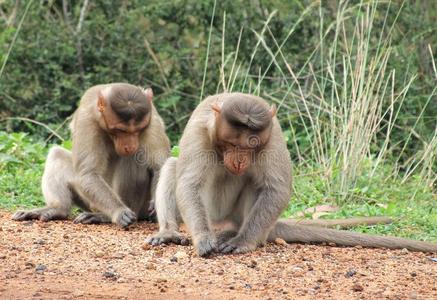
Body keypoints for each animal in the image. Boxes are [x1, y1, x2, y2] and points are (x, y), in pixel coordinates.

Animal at [12, 82, 169, 227]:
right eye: (121, 130)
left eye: (138, 129)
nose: (130, 146)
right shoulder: (86, 120)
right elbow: (87, 174)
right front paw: (119, 211)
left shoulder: (151, 118)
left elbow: (159, 166)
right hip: (90, 202)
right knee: (57, 155)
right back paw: (58, 209)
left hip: (141, 207)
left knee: (132, 158)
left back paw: (106, 216)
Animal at [146, 92, 436, 254]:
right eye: (232, 144)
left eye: (251, 144)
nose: (239, 161)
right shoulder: (199, 130)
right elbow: (189, 183)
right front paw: (203, 239)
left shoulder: (273, 135)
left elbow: (276, 188)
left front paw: (243, 242)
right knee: (173, 166)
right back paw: (171, 232)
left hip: (241, 218)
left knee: (256, 184)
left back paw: (235, 234)